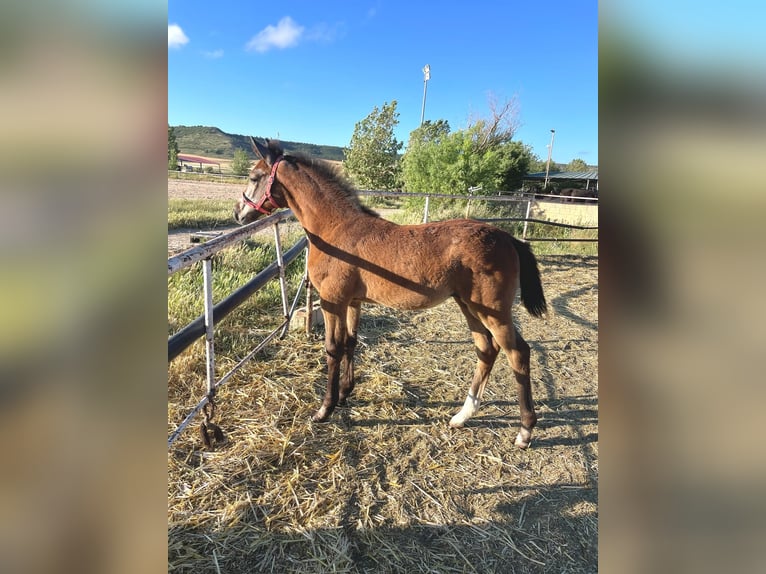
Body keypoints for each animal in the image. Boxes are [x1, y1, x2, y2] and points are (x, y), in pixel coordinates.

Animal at [233, 139, 547, 448]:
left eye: (254, 177)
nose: (238, 212)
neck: (336, 228)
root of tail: (508, 238)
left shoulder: (332, 301)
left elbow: (333, 349)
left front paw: (324, 409)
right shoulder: (353, 302)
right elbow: (350, 342)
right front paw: (345, 393)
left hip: (492, 310)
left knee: (518, 353)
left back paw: (524, 431)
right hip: (468, 306)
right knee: (487, 349)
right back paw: (462, 416)